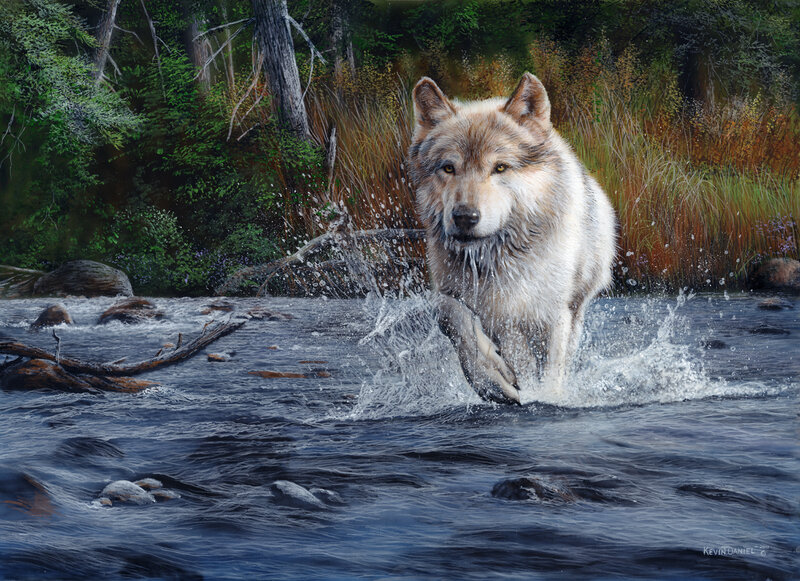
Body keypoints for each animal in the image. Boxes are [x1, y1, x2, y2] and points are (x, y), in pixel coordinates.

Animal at [407, 73, 617, 405]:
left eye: (500, 167)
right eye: (448, 168)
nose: (464, 217)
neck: (498, 259)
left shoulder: (550, 313)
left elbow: (546, 370)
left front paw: (543, 396)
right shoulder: (454, 294)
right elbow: (450, 317)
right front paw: (493, 381)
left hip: (576, 307)